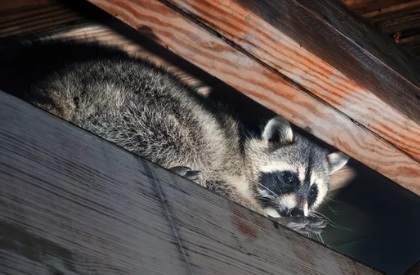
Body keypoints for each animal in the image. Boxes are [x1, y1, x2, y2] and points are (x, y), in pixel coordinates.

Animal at [0, 41, 348, 235]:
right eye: (288, 178)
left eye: (313, 190)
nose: (297, 212)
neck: (245, 148)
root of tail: (65, 80)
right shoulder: (227, 165)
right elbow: (218, 182)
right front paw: (269, 214)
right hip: (136, 104)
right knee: (179, 137)